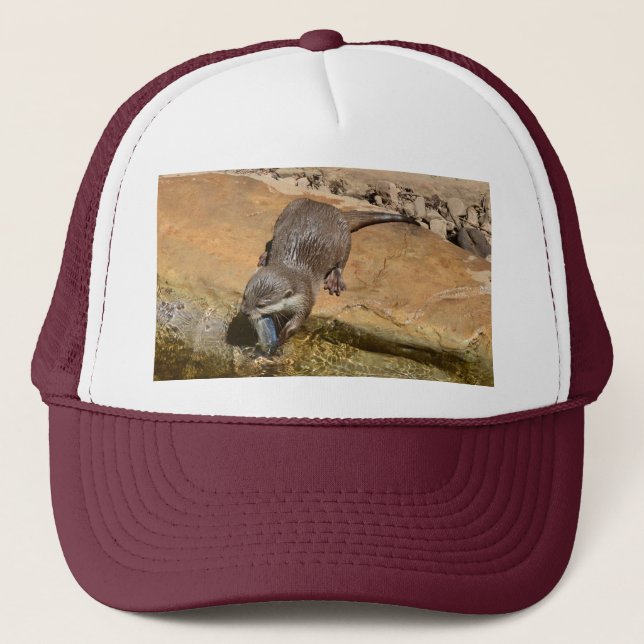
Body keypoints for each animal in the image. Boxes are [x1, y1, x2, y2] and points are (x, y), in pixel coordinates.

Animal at [240, 198, 417, 352]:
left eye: (261, 304)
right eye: (244, 296)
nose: (245, 311)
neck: (291, 266)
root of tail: (335, 210)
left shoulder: (306, 297)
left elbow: (299, 320)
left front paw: (282, 337)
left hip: (344, 237)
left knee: (342, 260)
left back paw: (335, 279)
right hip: (287, 211)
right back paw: (265, 256)